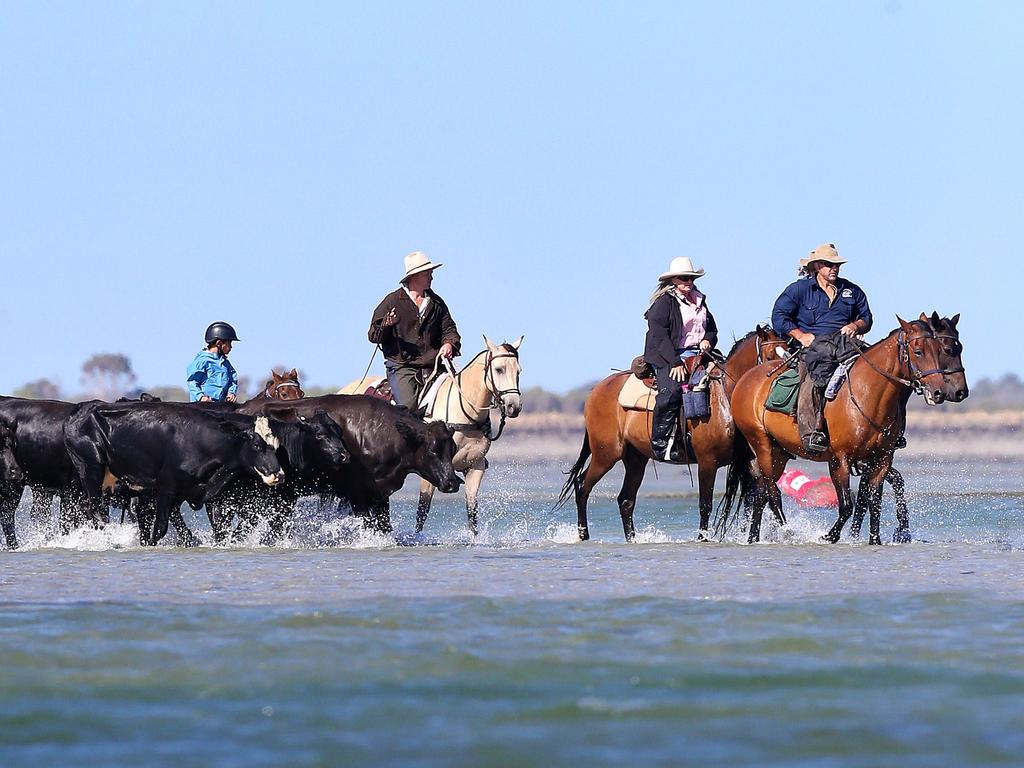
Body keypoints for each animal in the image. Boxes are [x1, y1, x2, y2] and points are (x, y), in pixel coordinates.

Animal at [62, 403, 288, 548]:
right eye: (257, 445)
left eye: (276, 446)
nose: (279, 475)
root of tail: (79, 410)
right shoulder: (167, 487)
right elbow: (160, 527)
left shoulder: (190, 492)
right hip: (91, 467)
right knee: (95, 510)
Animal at [241, 397, 458, 536]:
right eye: (432, 450)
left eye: (453, 449)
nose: (452, 482)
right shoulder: (357, 494)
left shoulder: (380, 495)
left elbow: (384, 526)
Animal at [339, 333, 524, 536]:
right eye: (499, 369)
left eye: (518, 372)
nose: (513, 407)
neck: (463, 411)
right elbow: (422, 511)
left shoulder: (475, 466)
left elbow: (472, 514)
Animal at [557, 325, 786, 540]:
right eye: (769, 357)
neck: (726, 396)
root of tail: (596, 390)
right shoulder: (707, 461)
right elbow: (705, 504)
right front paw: (702, 538)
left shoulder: (751, 461)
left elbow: (761, 497)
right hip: (606, 454)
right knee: (582, 486)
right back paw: (583, 534)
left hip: (635, 459)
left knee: (625, 500)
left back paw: (631, 539)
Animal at [729, 313, 966, 548]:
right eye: (918, 352)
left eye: (941, 349)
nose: (942, 391)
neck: (869, 394)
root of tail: (746, 378)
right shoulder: (840, 460)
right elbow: (847, 505)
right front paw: (829, 536)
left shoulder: (881, 458)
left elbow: (873, 500)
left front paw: (875, 539)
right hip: (762, 445)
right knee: (771, 492)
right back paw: (787, 532)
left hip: (779, 452)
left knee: (761, 492)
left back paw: (753, 537)